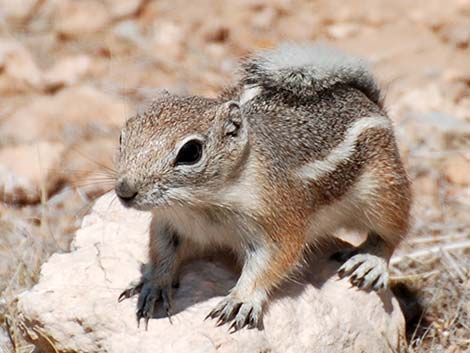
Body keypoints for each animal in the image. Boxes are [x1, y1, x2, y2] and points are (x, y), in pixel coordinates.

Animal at [116, 43, 412, 330]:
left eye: (190, 152)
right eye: (123, 135)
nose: (124, 191)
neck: (202, 203)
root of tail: (368, 100)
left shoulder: (278, 222)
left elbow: (270, 263)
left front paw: (241, 300)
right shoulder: (168, 223)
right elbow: (162, 253)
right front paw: (153, 284)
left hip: (383, 192)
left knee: (391, 233)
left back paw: (371, 262)